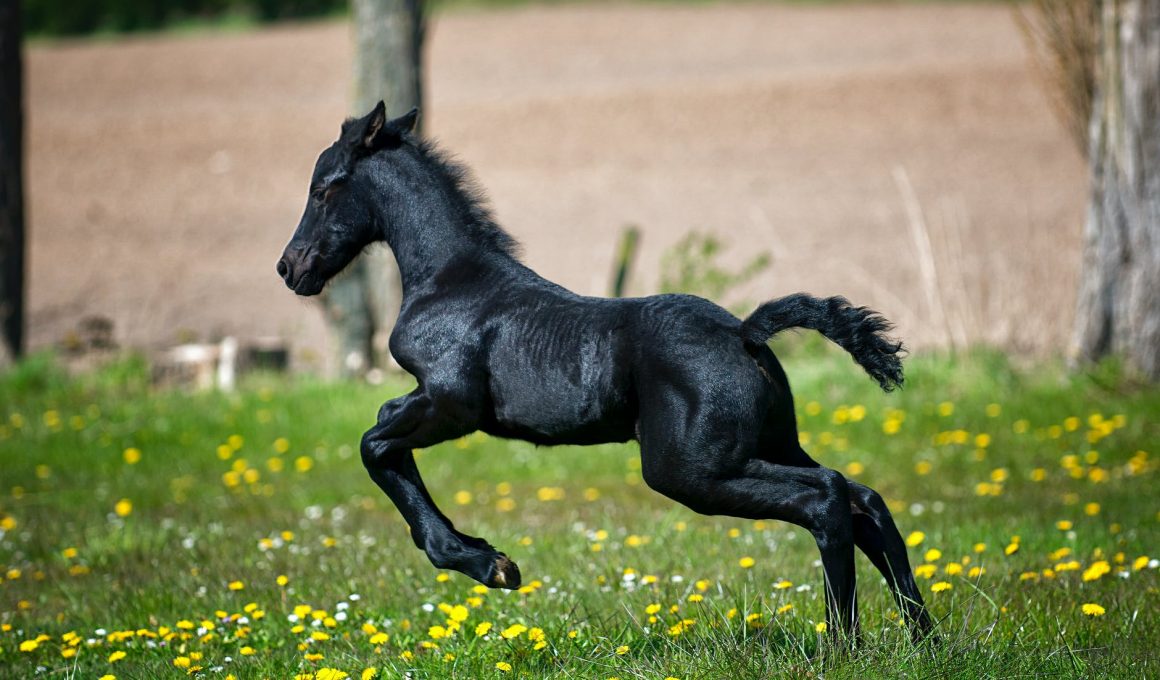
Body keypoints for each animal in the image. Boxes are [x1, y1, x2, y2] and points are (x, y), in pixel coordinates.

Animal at [276, 101, 934, 641]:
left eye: (323, 189)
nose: (290, 268)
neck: (451, 281)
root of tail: (745, 332)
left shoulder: (450, 403)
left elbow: (374, 442)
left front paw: (488, 564)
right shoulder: (433, 403)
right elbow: (384, 439)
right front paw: (485, 556)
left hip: (691, 469)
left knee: (827, 498)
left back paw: (843, 643)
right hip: (766, 445)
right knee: (864, 498)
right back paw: (921, 637)